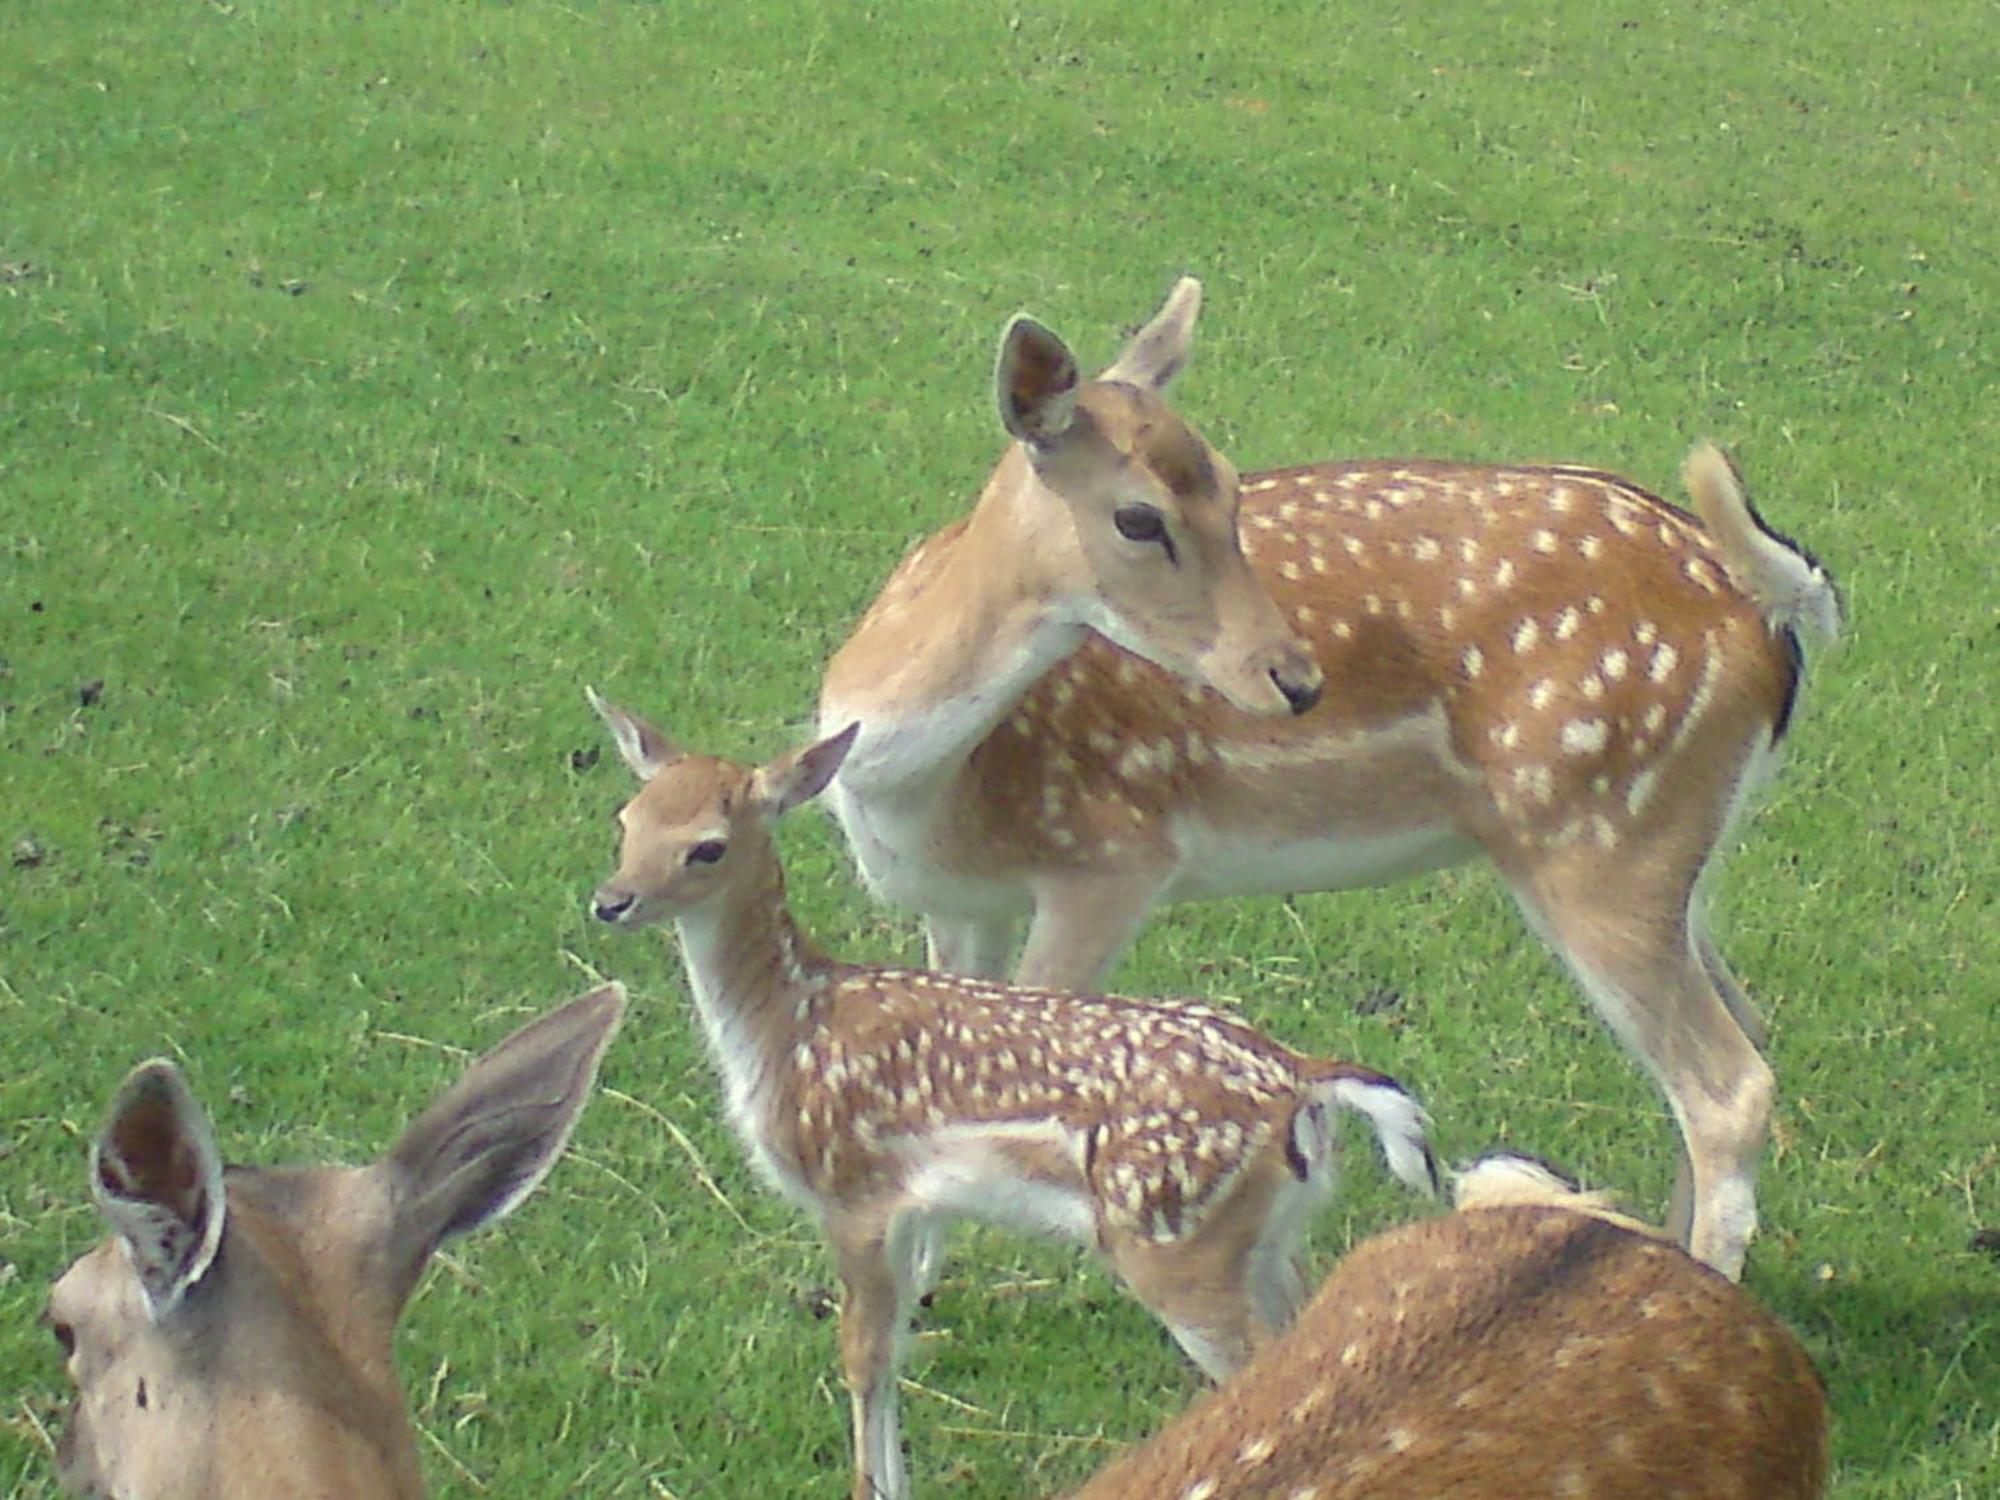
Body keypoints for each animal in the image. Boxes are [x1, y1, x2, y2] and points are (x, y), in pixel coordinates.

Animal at [584, 692, 1440, 1500]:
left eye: (707, 846)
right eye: (628, 817)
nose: (610, 901)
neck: (785, 1024)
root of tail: (1301, 1082)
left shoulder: (850, 1189)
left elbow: (862, 1355)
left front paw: (871, 1486)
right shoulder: (913, 1204)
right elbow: (895, 1342)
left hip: (1173, 1239)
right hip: (1264, 1236)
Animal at [820, 374, 1832, 1280]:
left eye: (1228, 492)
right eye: (1142, 517)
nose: (1291, 679)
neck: (919, 789)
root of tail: (1771, 609)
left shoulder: (1109, 854)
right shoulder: (958, 901)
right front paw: (919, 1285)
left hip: (1600, 835)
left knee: (1727, 1087)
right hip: (1670, 849)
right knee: (1738, 1027)